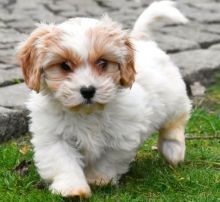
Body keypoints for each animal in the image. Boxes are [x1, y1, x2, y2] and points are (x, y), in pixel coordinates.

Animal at [16, 0, 191, 198]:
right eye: (64, 66)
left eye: (102, 63)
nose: (88, 90)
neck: (86, 113)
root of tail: (142, 39)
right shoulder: (54, 136)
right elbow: (63, 160)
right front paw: (72, 188)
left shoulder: (121, 137)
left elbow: (108, 160)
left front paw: (98, 179)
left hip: (174, 98)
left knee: (175, 121)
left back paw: (173, 149)